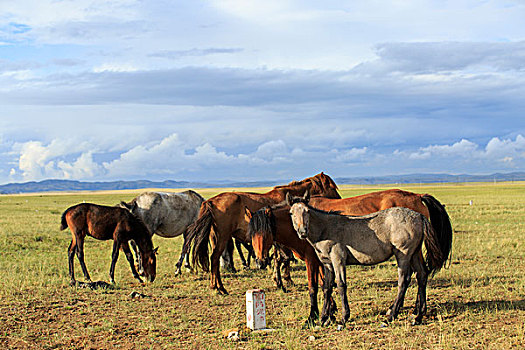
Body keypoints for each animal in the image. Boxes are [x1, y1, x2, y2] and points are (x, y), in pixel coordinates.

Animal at [184, 172, 340, 296]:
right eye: (332, 187)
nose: (338, 199)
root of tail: (210, 201)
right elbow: (283, 258)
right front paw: (284, 279)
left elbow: (280, 258)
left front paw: (279, 279)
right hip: (222, 238)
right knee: (215, 258)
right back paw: (220, 287)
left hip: (215, 238)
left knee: (214, 260)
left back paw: (214, 285)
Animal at [248, 190, 452, 324]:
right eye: (292, 213)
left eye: (306, 211)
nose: (302, 232)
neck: (325, 228)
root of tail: (418, 215)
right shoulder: (326, 263)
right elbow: (327, 287)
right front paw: (325, 317)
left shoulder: (336, 259)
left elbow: (336, 285)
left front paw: (338, 317)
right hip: (415, 253)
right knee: (422, 275)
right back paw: (418, 314)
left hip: (403, 255)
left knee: (405, 279)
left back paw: (392, 314)